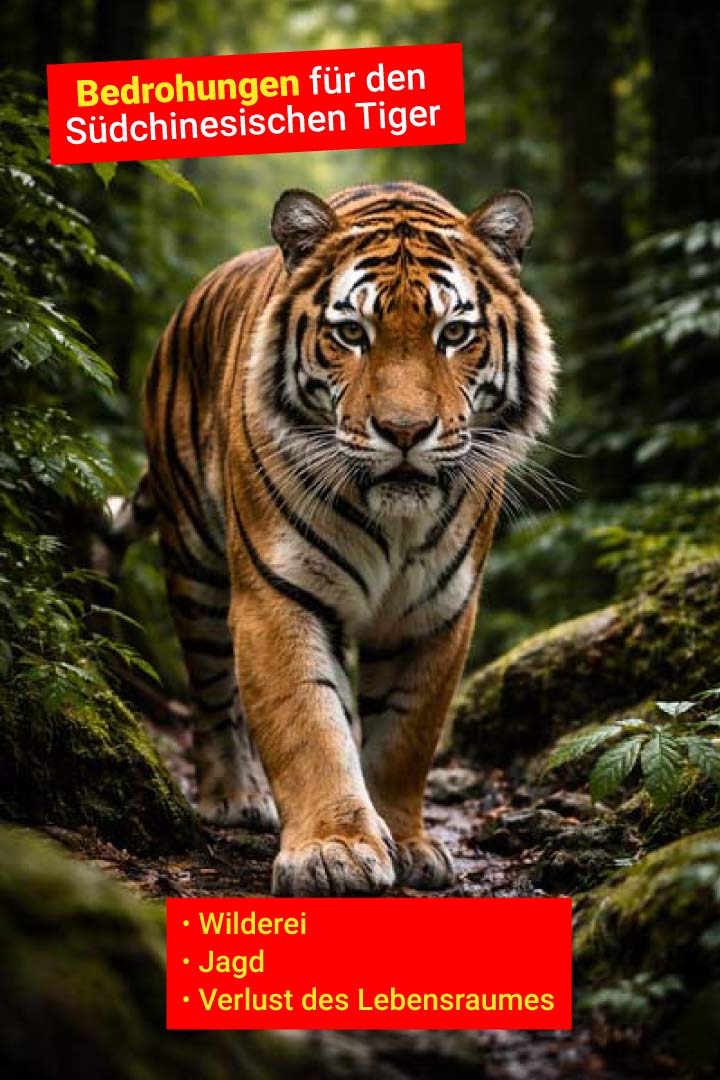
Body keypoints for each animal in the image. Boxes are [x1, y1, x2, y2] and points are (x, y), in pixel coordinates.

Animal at [106, 180, 557, 897]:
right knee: (212, 692)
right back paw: (234, 796)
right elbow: (309, 727)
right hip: (195, 566)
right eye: (351, 334)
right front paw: (333, 850)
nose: (405, 431)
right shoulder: (277, 597)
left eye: (454, 334)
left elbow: (404, 737)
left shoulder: (438, 612)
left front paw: (407, 842)